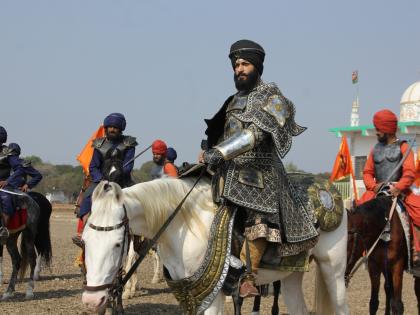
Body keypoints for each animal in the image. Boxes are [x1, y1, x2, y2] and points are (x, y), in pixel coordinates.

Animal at [81, 179, 348, 314]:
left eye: (117, 244)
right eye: (85, 241)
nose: (92, 301)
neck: (185, 226)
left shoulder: (213, 296)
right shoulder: (189, 295)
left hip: (333, 269)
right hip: (291, 275)